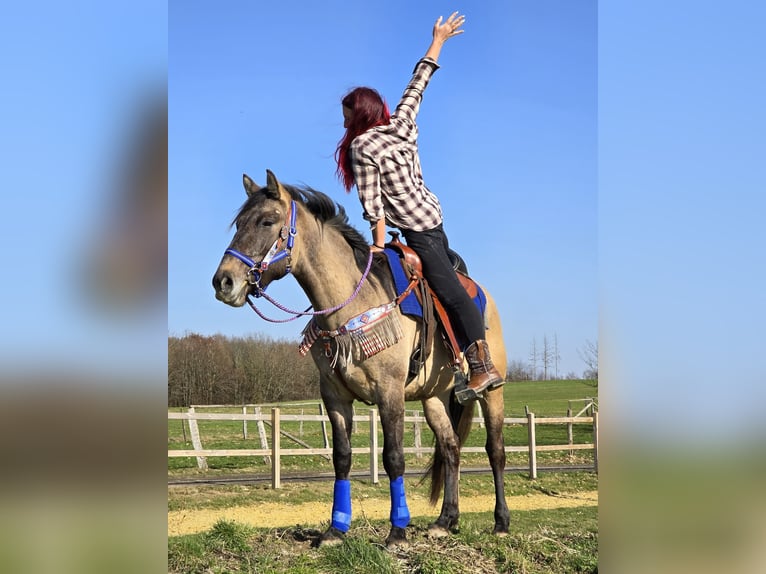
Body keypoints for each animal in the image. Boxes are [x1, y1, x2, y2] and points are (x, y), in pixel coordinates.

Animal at [212, 170, 510, 547]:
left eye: (267, 221)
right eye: (239, 223)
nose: (223, 282)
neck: (351, 303)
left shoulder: (389, 391)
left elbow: (393, 458)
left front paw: (397, 531)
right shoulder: (335, 396)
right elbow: (342, 457)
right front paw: (335, 529)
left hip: (492, 392)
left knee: (495, 449)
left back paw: (501, 521)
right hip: (435, 398)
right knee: (451, 447)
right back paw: (446, 520)